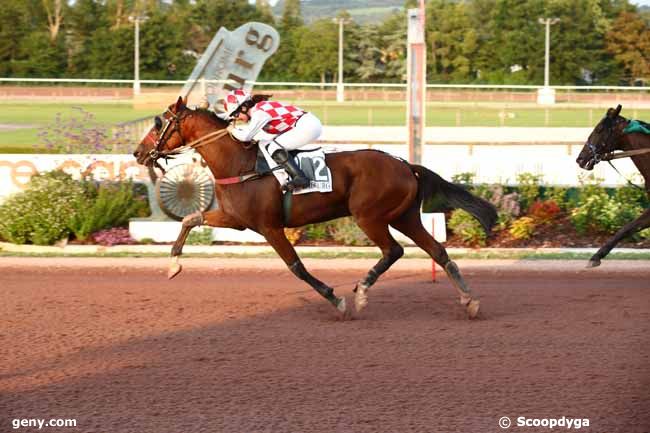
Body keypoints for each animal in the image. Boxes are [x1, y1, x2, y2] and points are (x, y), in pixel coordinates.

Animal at [133, 98, 496, 318]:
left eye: (159, 124)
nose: (138, 153)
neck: (240, 164)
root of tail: (405, 164)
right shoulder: (236, 219)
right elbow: (189, 219)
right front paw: (173, 266)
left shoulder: (269, 227)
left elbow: (296, 266)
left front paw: (336, 299)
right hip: (404, 216)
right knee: (437, 250)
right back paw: (469, 299)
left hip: (369, 216)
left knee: (394, 250)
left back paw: (361, 292)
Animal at [576, 104, 644, 266]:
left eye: (599, 129)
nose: (580, 159)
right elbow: (628, 227)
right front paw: (596, 256)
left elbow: (628, 227)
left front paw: (596, 256)